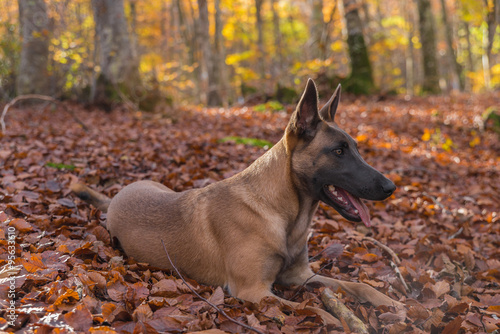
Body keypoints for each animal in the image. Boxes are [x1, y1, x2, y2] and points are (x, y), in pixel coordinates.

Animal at [72, 79, 402, 326]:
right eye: (338, 151)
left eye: (355, 148)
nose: (391, 187)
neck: (282, 212)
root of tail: (118, 194)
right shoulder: (253, 290)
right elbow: (310, 308)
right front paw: (335, 320)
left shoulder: (301, 276)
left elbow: (356, 284)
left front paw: (391, 302)